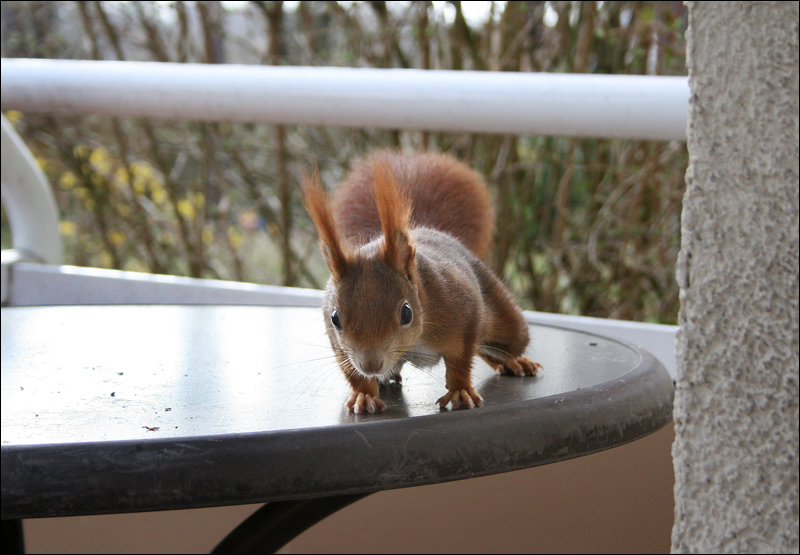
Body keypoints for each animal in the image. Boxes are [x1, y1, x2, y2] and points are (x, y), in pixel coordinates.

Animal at [304, 150, 540, 414]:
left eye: (406, 313)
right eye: (335, 318)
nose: (371, 364)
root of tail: (430, 229)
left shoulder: (463, 309)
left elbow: (461, 359)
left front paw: (460, 391)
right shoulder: (339, 345)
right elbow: (352, 371)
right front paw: (363, 395)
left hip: (506, 321)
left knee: (497, 344)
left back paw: (515, 361)